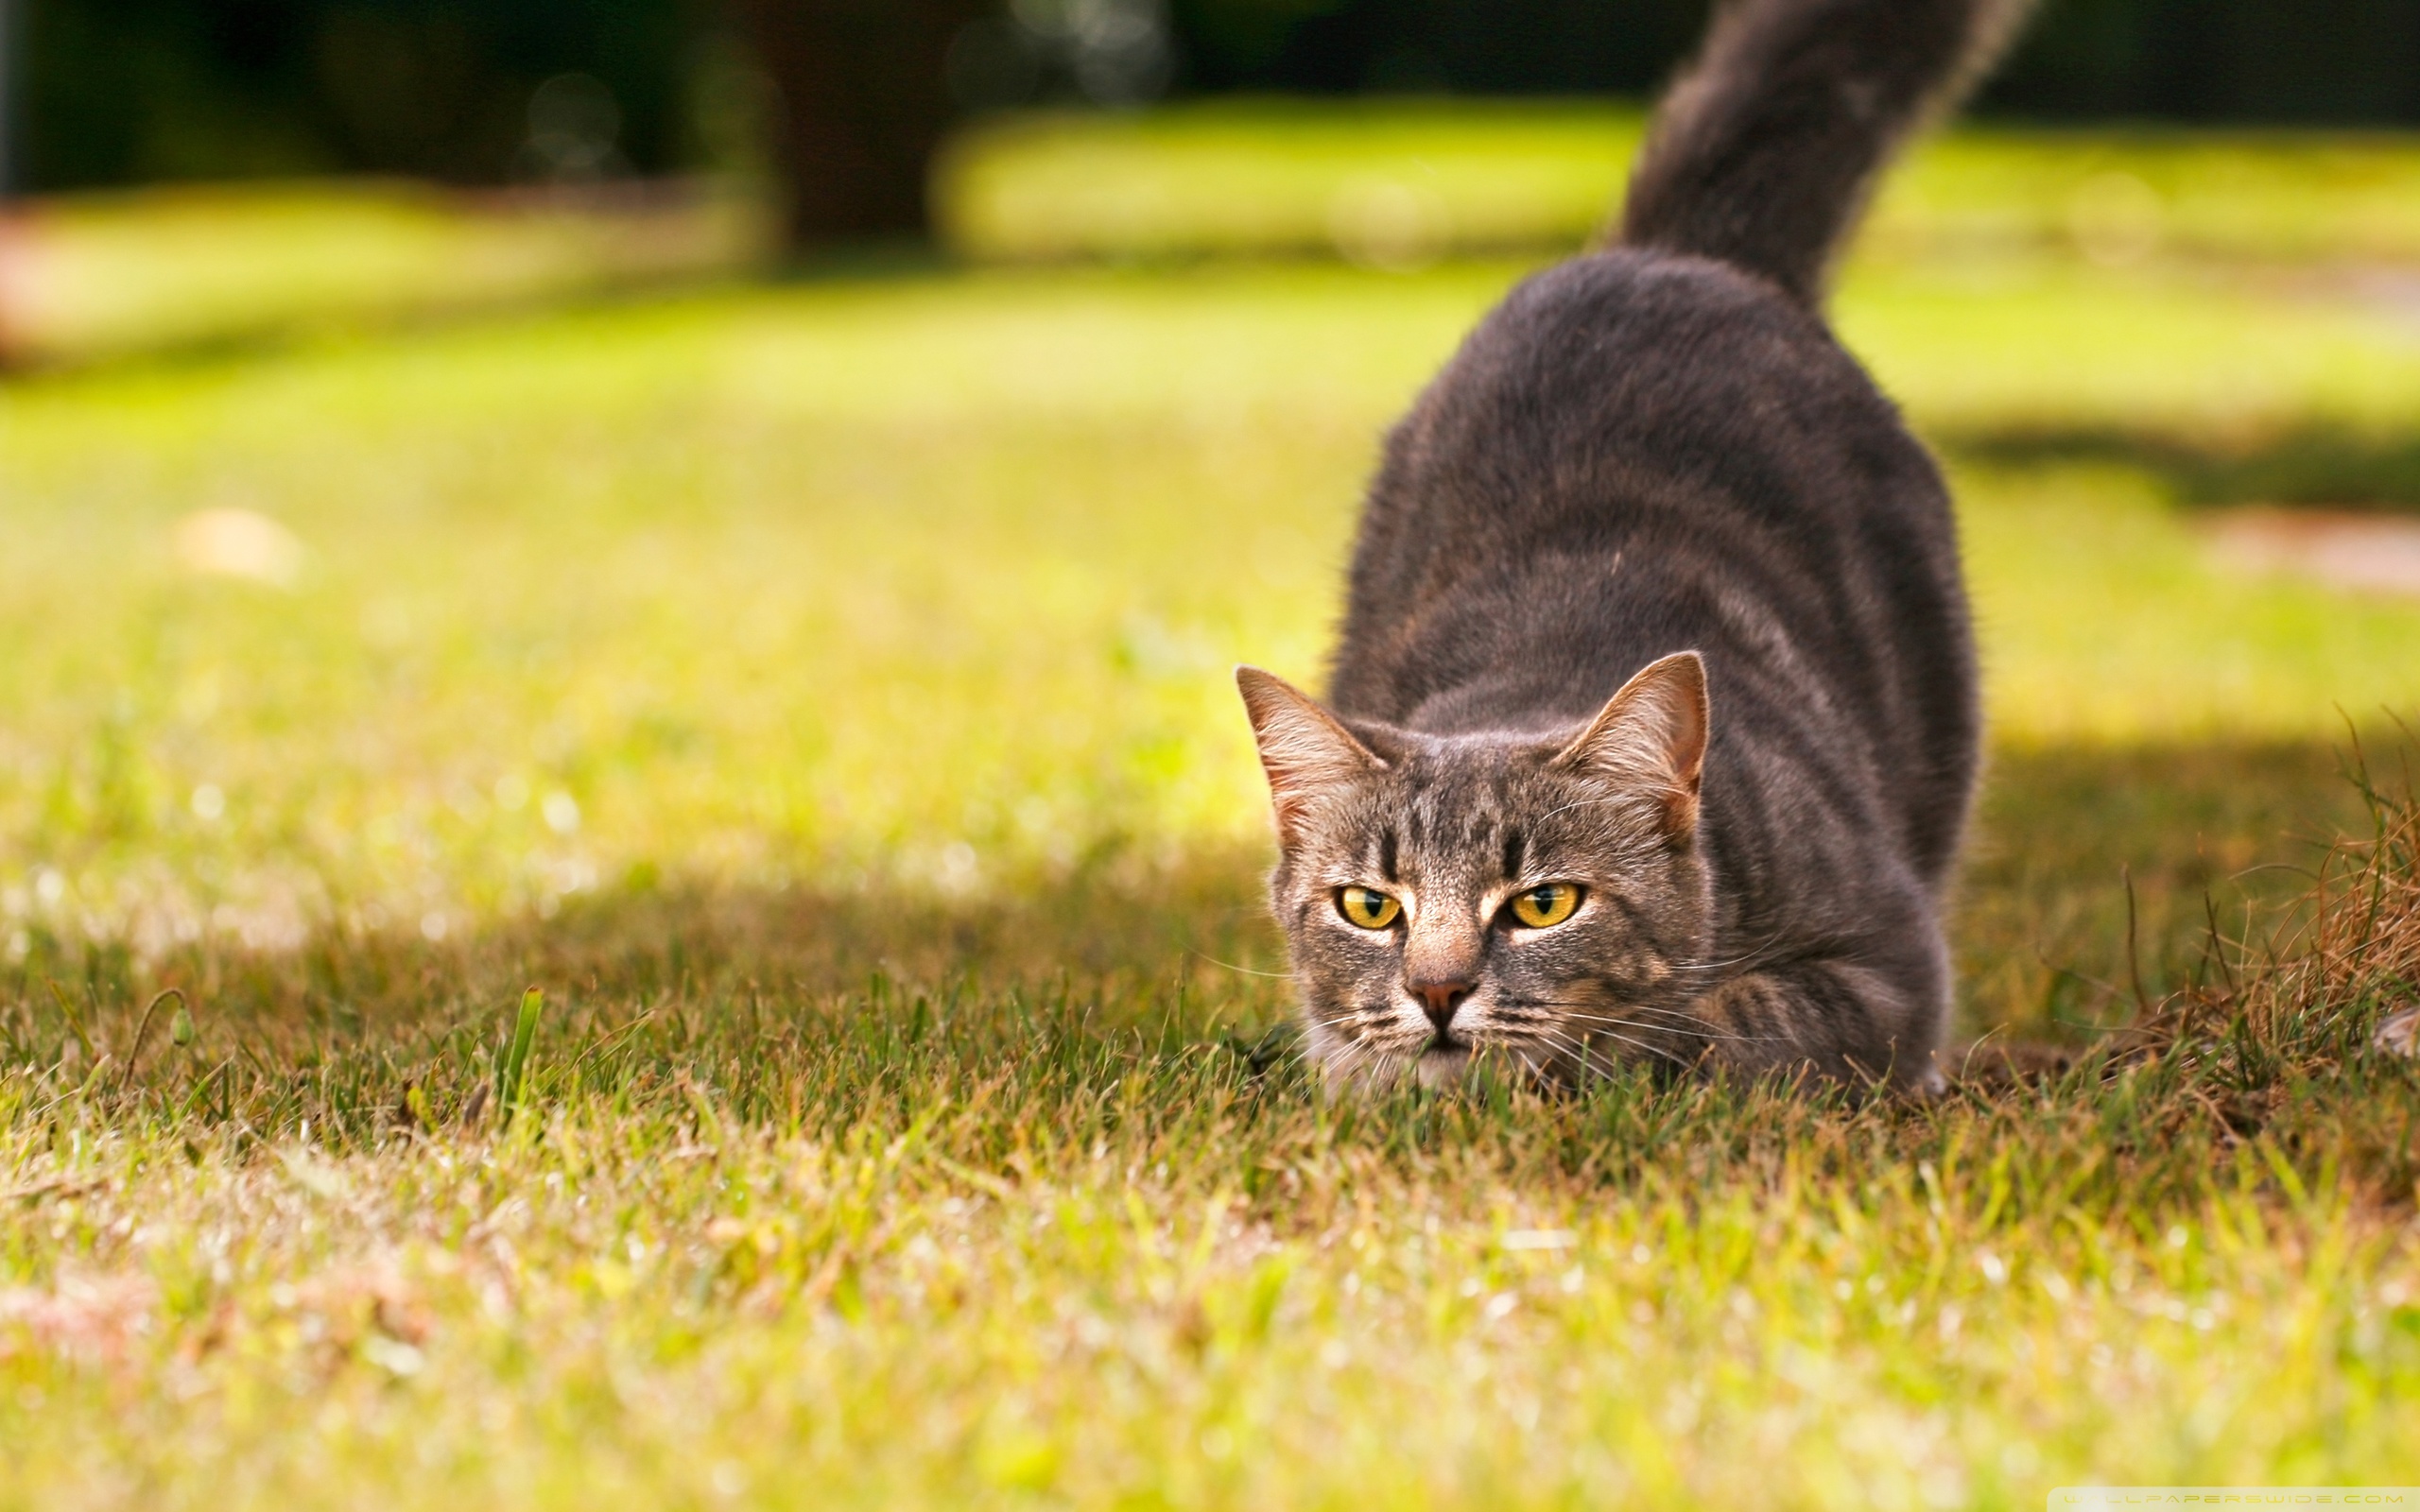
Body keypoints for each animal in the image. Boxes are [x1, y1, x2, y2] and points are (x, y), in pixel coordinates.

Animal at [1238, 0, 2032, 1089]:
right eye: (1371, 907)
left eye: (1543, 903)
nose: (1436, 991)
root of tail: (1672, 254)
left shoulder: (1888, 963)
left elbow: (1714, 1024)